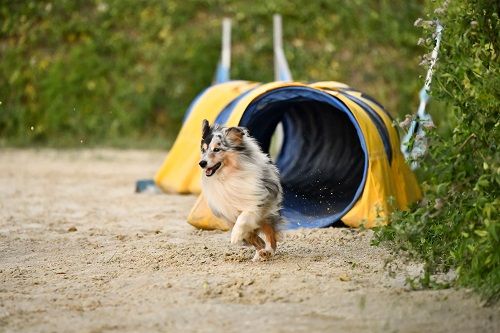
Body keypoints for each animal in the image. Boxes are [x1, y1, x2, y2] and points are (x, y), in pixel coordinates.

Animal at [200, 118, 286, 260]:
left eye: (217, 149)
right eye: (203, 150)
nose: (202, 163)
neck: (228, 175)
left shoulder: (256, 201)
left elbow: (243, 218)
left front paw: (235, 236)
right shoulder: (227, 212)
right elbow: (247, 233)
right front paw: (248, 239)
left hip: (267, 214)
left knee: (271, 236)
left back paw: (266, 252)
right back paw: (259, 252)